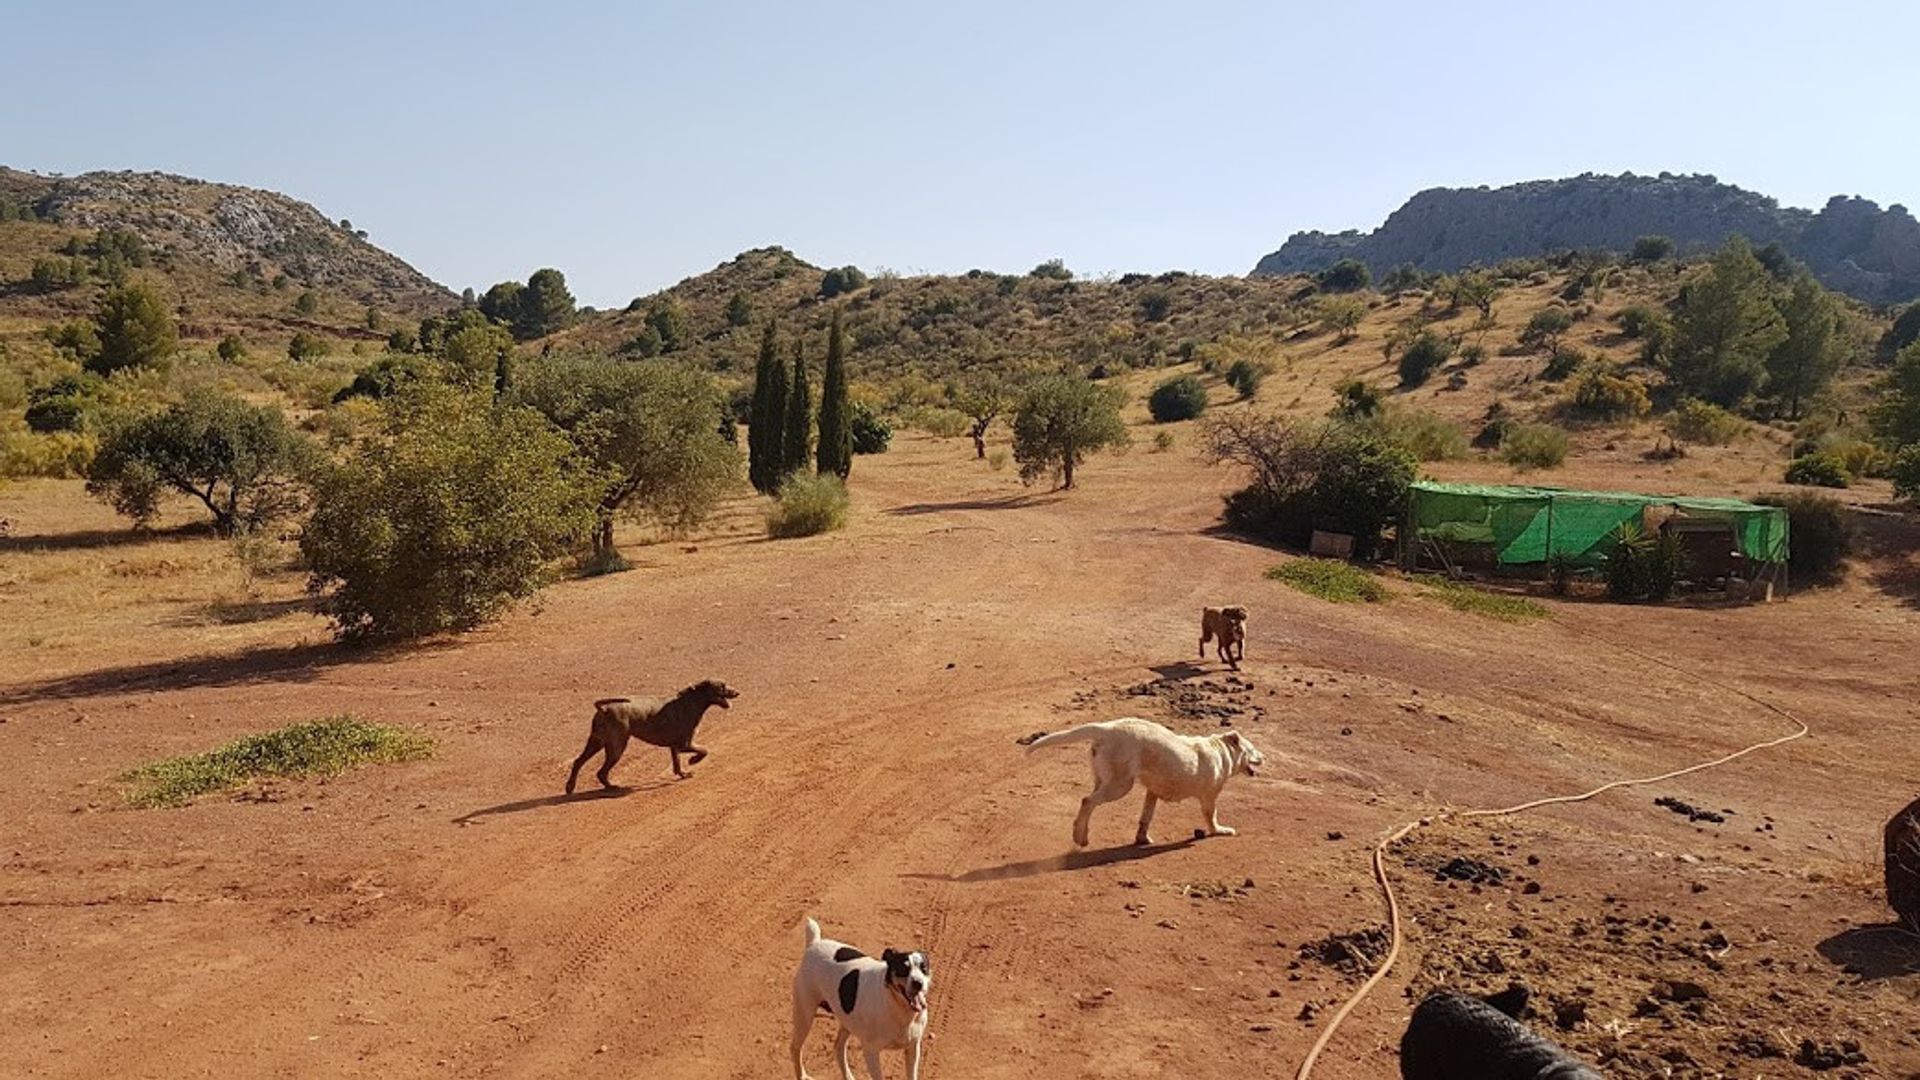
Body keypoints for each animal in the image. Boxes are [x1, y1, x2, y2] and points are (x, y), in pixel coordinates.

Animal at [564, 672, 737, 791]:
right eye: (722, 686)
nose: (737, 692)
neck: (692, 701)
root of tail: (605, 709)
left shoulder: (675, 747)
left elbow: (677, 765)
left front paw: (683, 774)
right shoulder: (685, 744)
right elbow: (705, 750)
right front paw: (693, 761)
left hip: (597, 741)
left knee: (578, 762)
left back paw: (570, 786)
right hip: (616, 747)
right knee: (600, 772)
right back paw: (611, 787)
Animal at [791, 914, 933, 1076]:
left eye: (924, 968)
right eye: (903, 969)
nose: (918, 983)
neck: (897, 1006)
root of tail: (813, 943)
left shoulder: (913, 1048)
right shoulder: (870, 1051)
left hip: (847, 1021)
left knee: (838, 1047)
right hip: (804, 1016)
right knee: (795, 1048)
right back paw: (802, 1075)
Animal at [1021, 718, 1259, 845]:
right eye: (1253, 748)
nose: (1264, 756)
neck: (1220, 749)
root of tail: (1107, 727)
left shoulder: (1152, 792)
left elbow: (1146, 817)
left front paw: (1142, 838)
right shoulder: (1209, 796)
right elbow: (1212, 816)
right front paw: (1220, 831)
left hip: (1103, 779)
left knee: (1089, 799)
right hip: (1120, 785)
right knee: (1087, 801)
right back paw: (1080, 837)